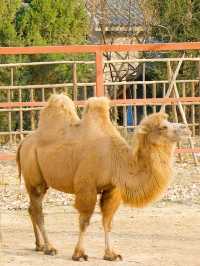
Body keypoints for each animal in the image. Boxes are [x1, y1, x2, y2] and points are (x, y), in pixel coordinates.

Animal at [16, 94, 190, 260]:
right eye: (163, 127)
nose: (186, 128)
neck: (116, 161)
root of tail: (24, 142)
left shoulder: (112, 189)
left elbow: (107, 221)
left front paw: (111, 254)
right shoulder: (87, 186)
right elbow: (84, 221)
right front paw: (79, 254)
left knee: (31, 209)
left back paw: (39, 245)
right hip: (34, 177)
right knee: (38, 211)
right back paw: (50, 248)